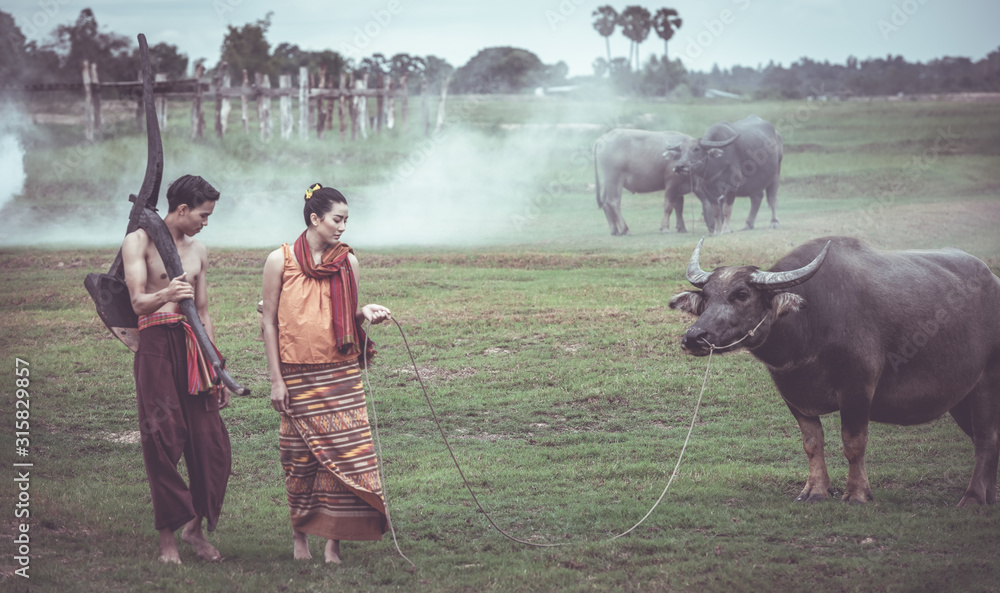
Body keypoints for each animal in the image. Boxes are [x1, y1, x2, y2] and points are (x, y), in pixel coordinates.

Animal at [664, 236, 1000, 504]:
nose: (694, 337)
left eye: (742, 294)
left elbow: (853, 444)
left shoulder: (858, 388)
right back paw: (989, 495)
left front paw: (857, 494)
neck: (810, 325)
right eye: (706, 298)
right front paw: (815, 491)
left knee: (986, 438)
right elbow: (812, 443)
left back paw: (972, 498)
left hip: (987, 380)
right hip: (960, 397)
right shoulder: (792, 395)